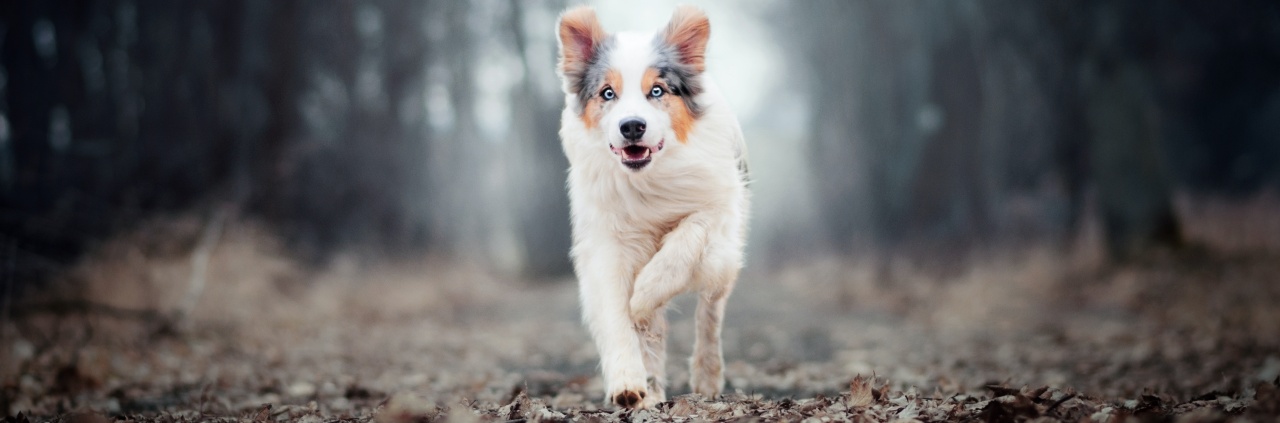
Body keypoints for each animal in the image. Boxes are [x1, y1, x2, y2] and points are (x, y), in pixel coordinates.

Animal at [552, 4, 747, 410]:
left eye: (657, 90)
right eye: (607, 93)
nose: (631, 126)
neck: (648, 180)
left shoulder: (717, 210)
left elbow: (685, 240)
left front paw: (642, 296)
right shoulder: (608, 243)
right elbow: (616, 314)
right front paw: (628, 382)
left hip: (724, 264)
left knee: (710, 314)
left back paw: (707, 376)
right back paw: (651, 390)